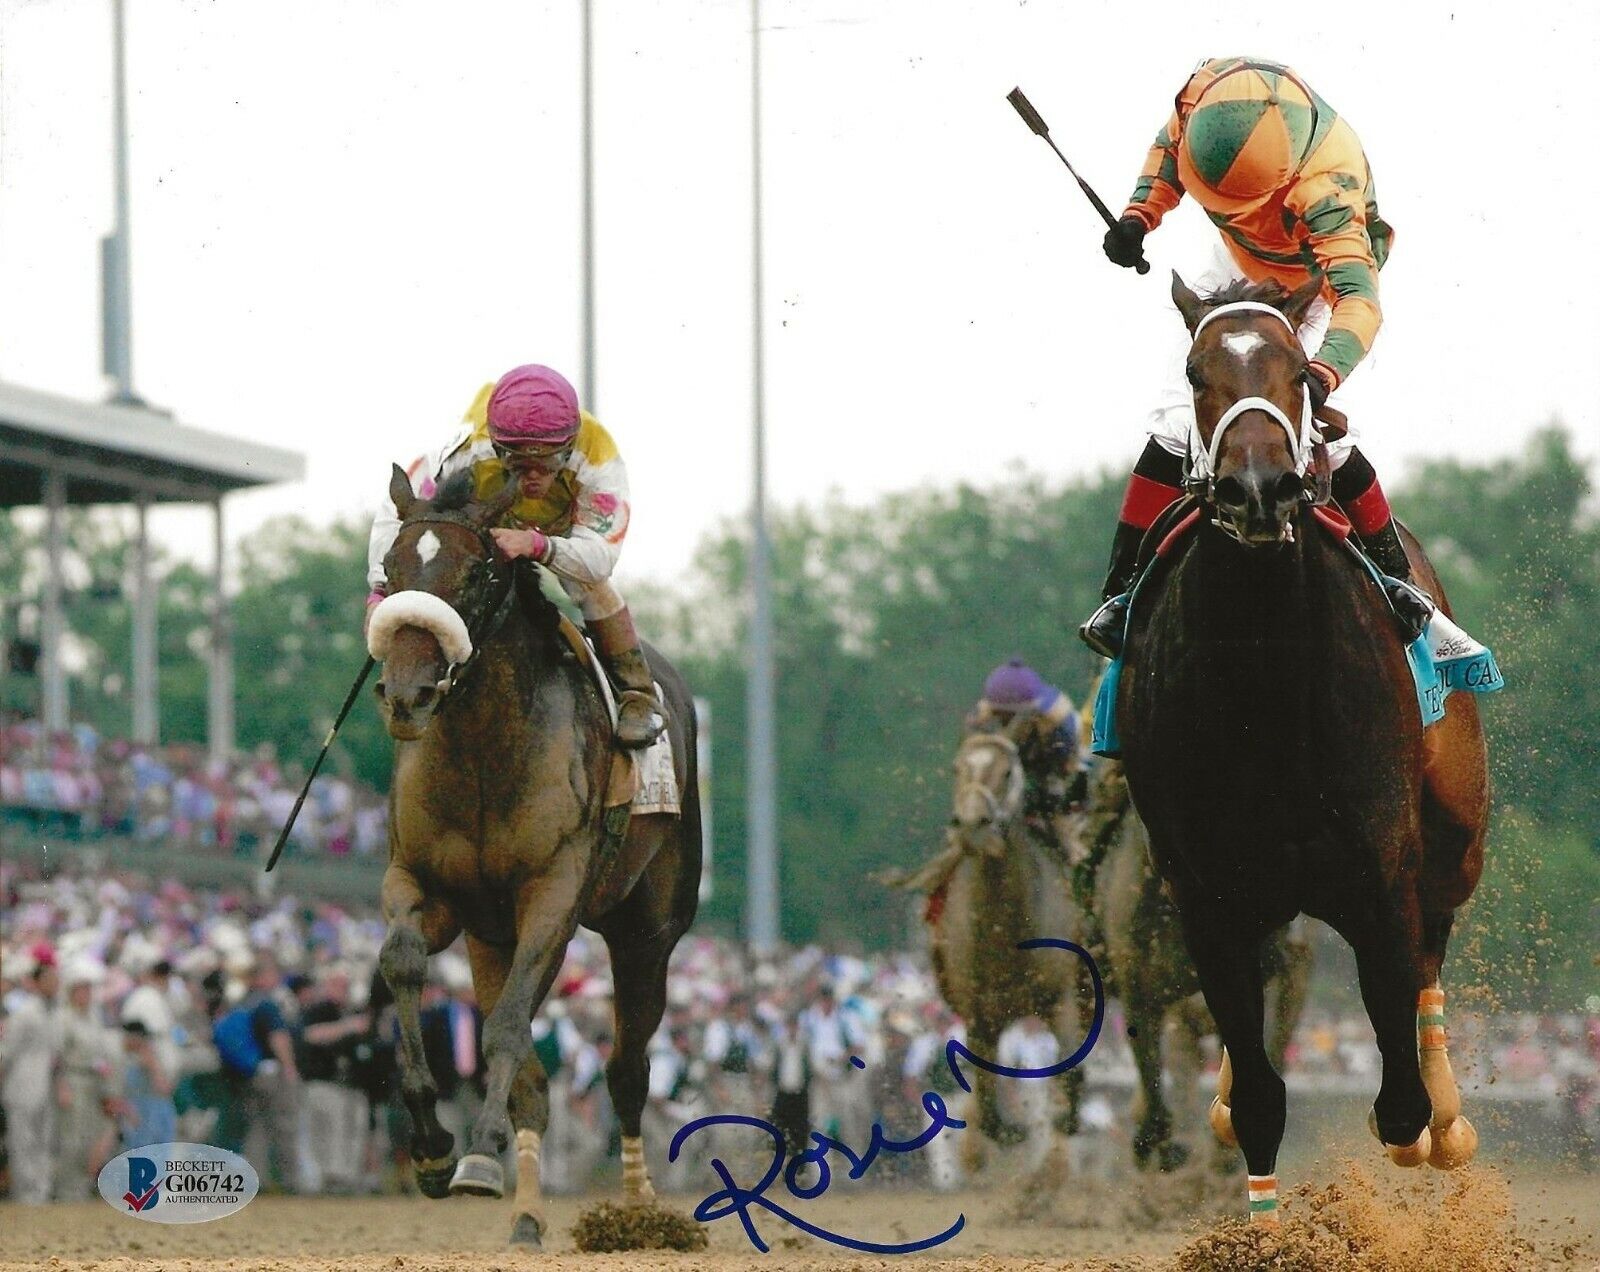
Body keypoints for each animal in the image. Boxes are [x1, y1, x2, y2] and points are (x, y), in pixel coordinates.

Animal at [371, 464, 704, 1241]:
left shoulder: (554, 891)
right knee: (539, 1075)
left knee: (626, 1070)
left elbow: (507, 1028)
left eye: (475, 573)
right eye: (390, 569)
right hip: (492, 939)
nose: (407, 695)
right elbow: (402, 962)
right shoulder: (427, 886)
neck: (483, 753)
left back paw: (638, 1212)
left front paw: (476, 1146)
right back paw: (521, 1209)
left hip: (649, 933)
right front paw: (435, 1148)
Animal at [1113, 276, 1484, 1222]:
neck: (1266, 680)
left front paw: (1422, 1124)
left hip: (1455, 834)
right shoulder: (1206, 892)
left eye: (1297, 374)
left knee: (1433, 953)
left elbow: (1398, 1089)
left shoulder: (1379, 871)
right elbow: (1258, 1095)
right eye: (1196, 371)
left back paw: (1449, 1116)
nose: (1258, 490)